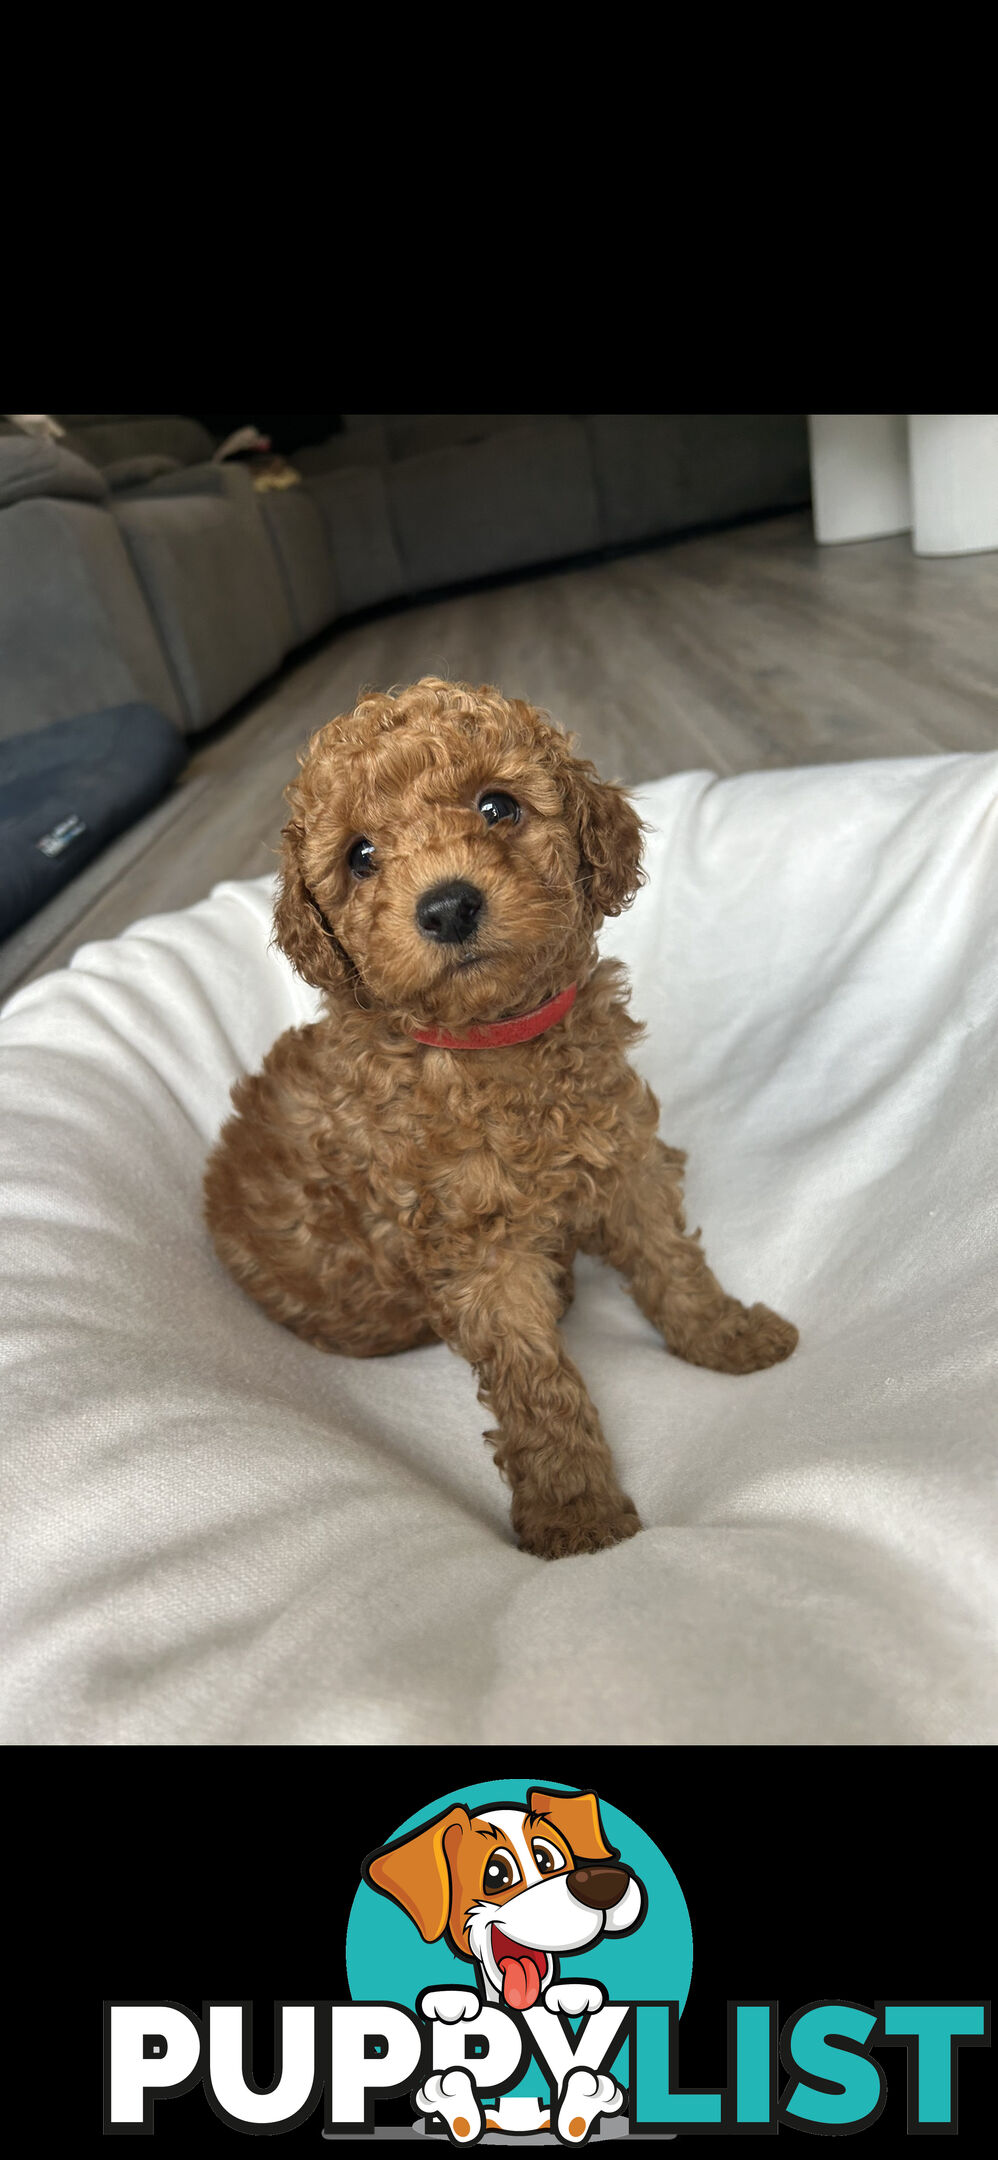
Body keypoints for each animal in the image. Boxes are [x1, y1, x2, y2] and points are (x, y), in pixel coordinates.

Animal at [203, 673, 794, 1555]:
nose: (448, 907)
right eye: (361, 856)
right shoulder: (476, 1249)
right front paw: (578, 1517)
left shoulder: (623, 1157)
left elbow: (672, 1262)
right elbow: (536, 1383)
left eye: (497, 807)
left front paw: (728, 1336)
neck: (495, 1044)